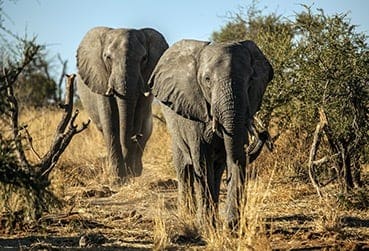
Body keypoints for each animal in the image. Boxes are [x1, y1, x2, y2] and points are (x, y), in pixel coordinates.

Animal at [76, 27, 168, 180]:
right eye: (108, 57)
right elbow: (110, 123)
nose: (135, 137)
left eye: (144, 58)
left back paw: (136, 171)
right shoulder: (100, 78)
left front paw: (130, 174)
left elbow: (138, 117)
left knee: (146, 129)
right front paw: (117, 179)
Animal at [148, 39, 272, 229]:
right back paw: (187, 213)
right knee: (184, 168)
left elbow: (230, 156)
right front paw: (206, 226)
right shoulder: (194, 110)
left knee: (217, 168)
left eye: (250, 79)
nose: (264, 133)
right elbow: (202, 160)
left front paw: (229, 225)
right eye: (207, 80)